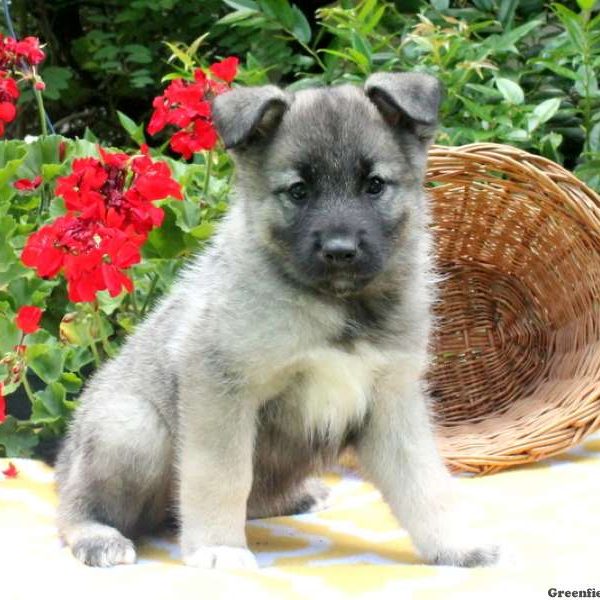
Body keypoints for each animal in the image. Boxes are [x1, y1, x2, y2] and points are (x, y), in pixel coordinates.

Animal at [55, 72, 502, 568]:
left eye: (374, 185)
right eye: (299, 191)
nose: (340, 251)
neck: (335, 306)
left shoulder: (392, 400)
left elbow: (424, 483)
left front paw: (456, 543)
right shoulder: (221, 389)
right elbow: (222, 477)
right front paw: (218, 546)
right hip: (131, 429)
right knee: (76, 506)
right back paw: (97, 535)